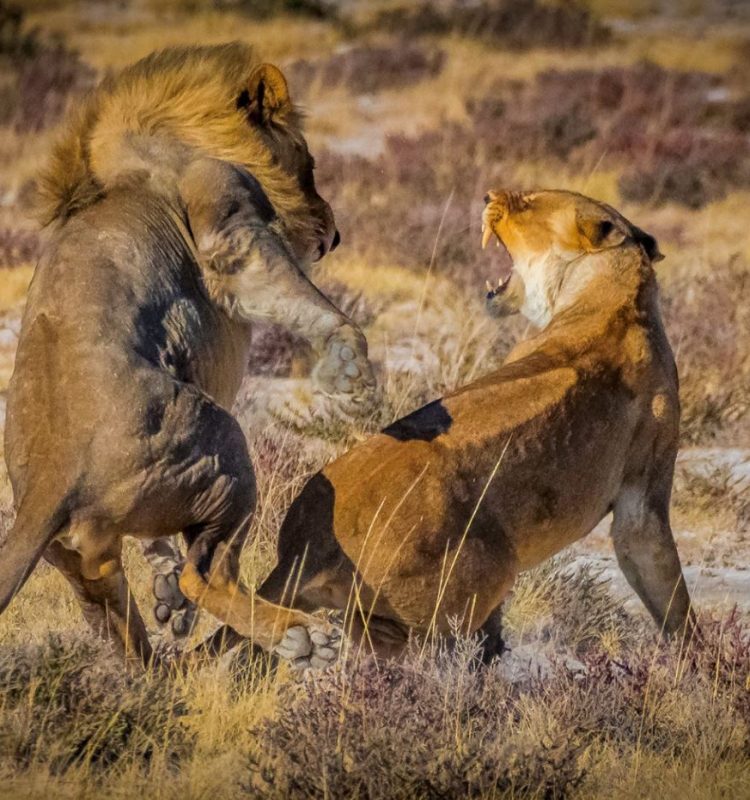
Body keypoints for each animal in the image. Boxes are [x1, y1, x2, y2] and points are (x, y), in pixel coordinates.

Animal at [0, 43, 376, 668]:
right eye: (311, 164)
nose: (337, 235)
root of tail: (47, 484)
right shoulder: (228, 213)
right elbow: (288, 289)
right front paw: (349, 368)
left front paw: (165, 592)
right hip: (227, 450)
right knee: (209, 576)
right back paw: (303, 638)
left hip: (82, 562)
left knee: (120, 617)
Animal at [217, 189, 700, 664]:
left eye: (529, 202)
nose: (488, 195)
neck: (617, 298)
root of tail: (308, 546)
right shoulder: (642, 501)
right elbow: (668, 590)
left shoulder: (643, 496)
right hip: (489, 567)